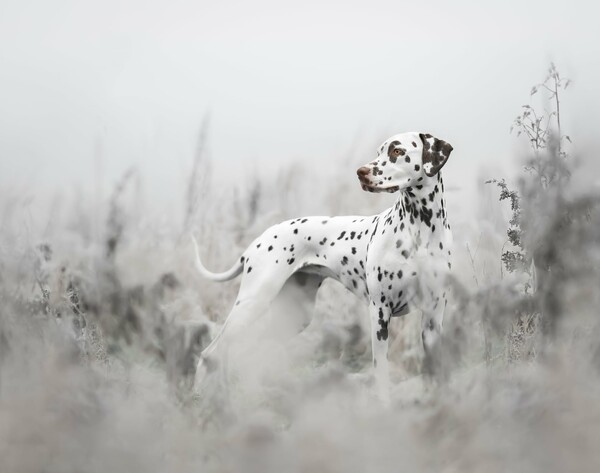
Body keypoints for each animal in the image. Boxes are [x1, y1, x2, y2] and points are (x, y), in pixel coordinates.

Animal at [193, 131, 454, 396]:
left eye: (398, 151)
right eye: (379, 151)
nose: (361, 172)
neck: (420, 231)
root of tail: (257, 241)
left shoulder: (433, 318)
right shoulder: (380, 313)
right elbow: (381, 374)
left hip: (294, 316)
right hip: (251, 303)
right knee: (210, 353)